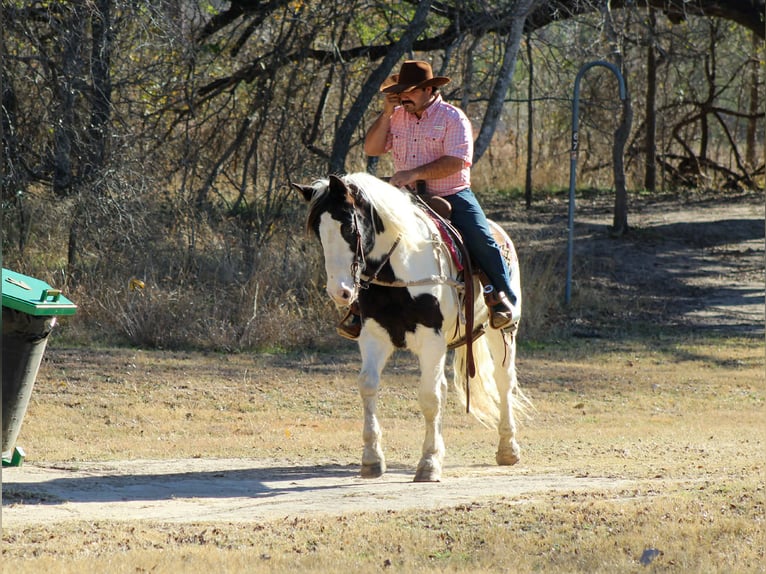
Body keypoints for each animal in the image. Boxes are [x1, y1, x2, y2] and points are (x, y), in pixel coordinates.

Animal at [293, 172, 527, 482]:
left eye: (348, 226)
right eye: (319, 232)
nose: (339, 292)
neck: (400, 270)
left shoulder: (431, 340)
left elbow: (429, 396)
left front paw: (428, 463)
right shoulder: (374, 336)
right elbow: (369, 385)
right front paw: (372, 459)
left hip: (501, 332)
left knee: (503, 382)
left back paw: (508, 449)